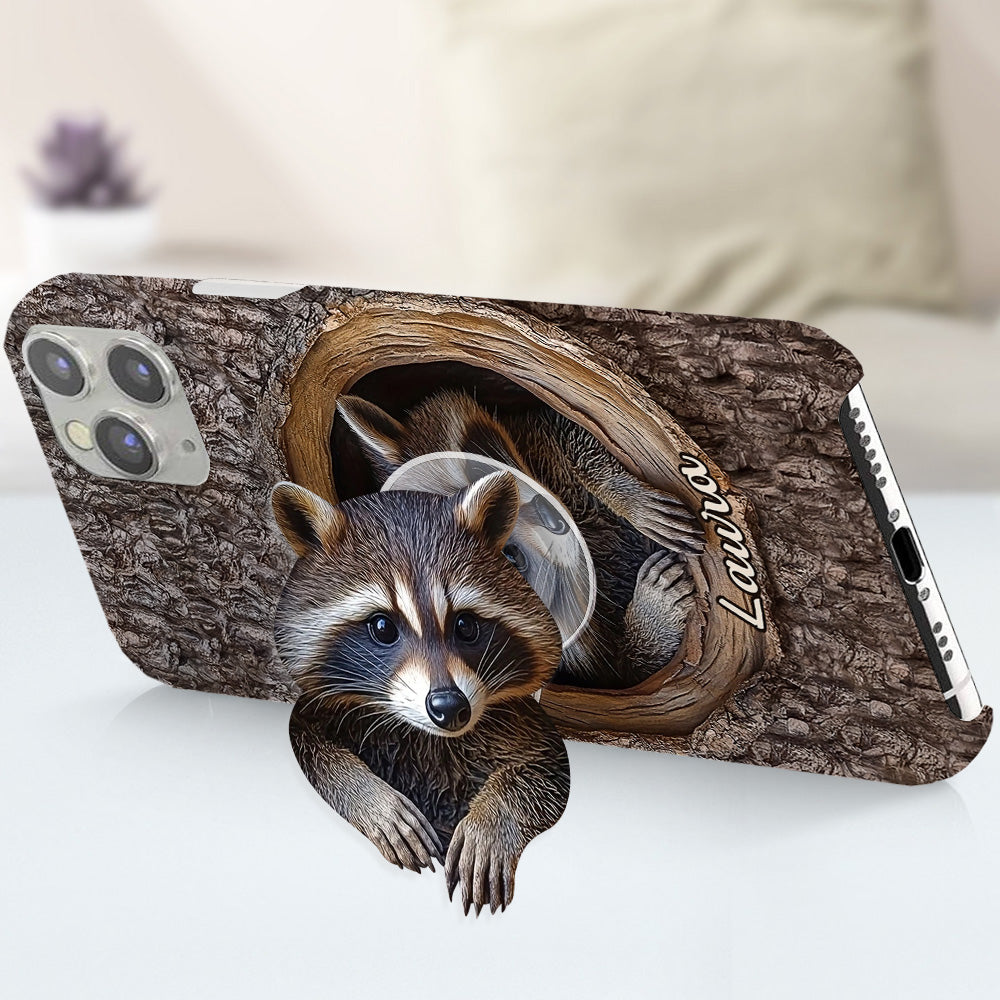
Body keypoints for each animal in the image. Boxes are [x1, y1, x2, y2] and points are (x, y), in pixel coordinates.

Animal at [272, 471, 570, 914]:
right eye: (382, 627)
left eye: (466, 625)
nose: (449, 706)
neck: (427, 737)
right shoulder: (320, 710)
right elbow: (313, 745)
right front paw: (372, 798)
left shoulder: (522, 725)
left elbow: (544, 774)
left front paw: (491, 820)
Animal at [336, 389, 703, 689]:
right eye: (508, 555)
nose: (553, 519)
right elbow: (623, 673)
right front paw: (651, 622)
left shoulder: (535, 430)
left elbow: (573, 433)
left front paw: (620, 491)